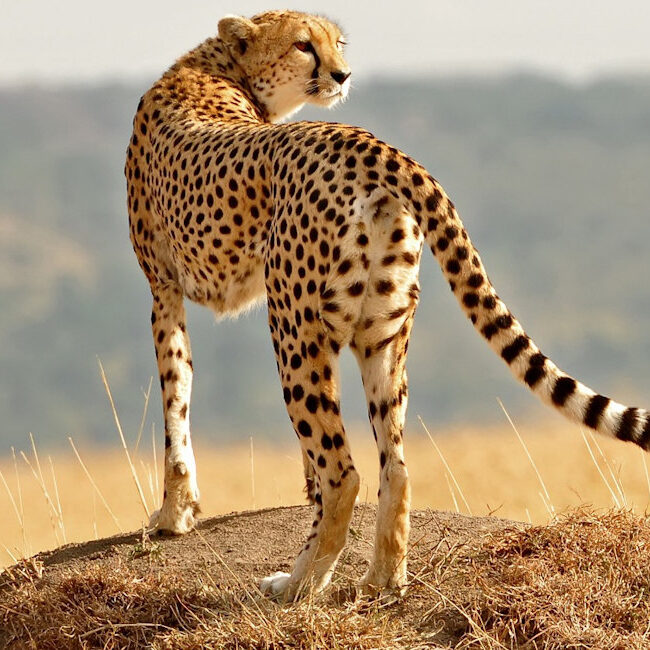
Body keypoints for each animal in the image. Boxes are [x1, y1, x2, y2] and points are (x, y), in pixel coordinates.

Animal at [125, 9, 650, 601]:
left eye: (337, 43)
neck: (218, 67)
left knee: (345, 473)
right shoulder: (170, 288)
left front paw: (173, 513)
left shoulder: (163, 289)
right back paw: (383, 578)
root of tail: (366, 142)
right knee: (394, 468)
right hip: (382, 330)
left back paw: (299, 584)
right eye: (304, 45)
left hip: (294, 329)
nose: (342, 74)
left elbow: (175, 398)